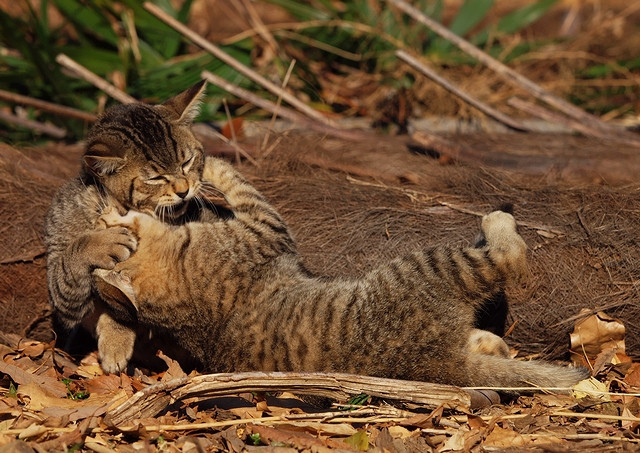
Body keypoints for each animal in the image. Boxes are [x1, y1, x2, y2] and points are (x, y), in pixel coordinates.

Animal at [45, 80, 216, 370]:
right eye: (156, 178)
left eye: (187, 162)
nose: (184, 190)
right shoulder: (64, 298)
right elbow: (75, 257)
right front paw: (102, 242)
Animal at [92, 156, 588, 388]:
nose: (104, 214)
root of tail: (436, 363)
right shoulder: (264, 226)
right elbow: (239, 183)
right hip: (431, 265)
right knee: (510, 255)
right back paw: (497, 221)